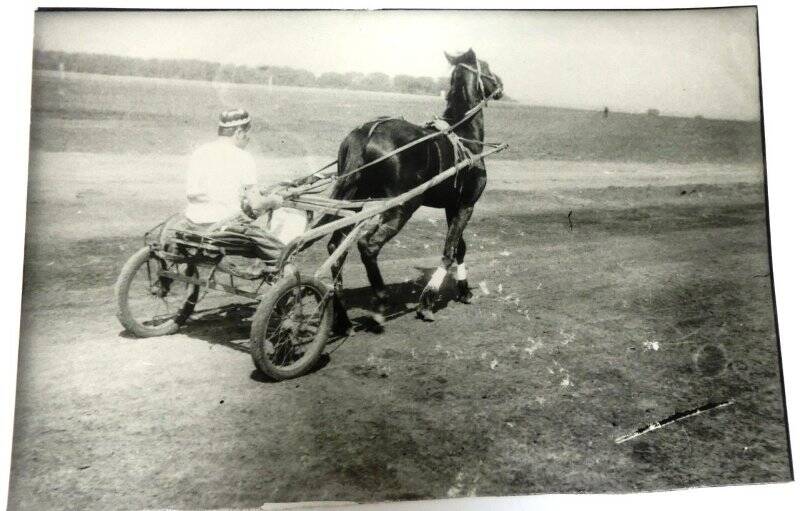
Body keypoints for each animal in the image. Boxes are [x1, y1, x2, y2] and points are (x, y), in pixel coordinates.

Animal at [322, 49, 504, 332]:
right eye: (486, 67)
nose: (501, 86)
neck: (464, 137)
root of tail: (364, 133)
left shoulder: (452, 205)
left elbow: (459, 248)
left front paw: (464, 290)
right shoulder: (467, 204)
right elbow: (449, 251)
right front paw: (427, 301)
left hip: (354, 201)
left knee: (336, 247)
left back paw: (341, 317)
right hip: (403, 205)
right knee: (368, 245)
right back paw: (380, 304)